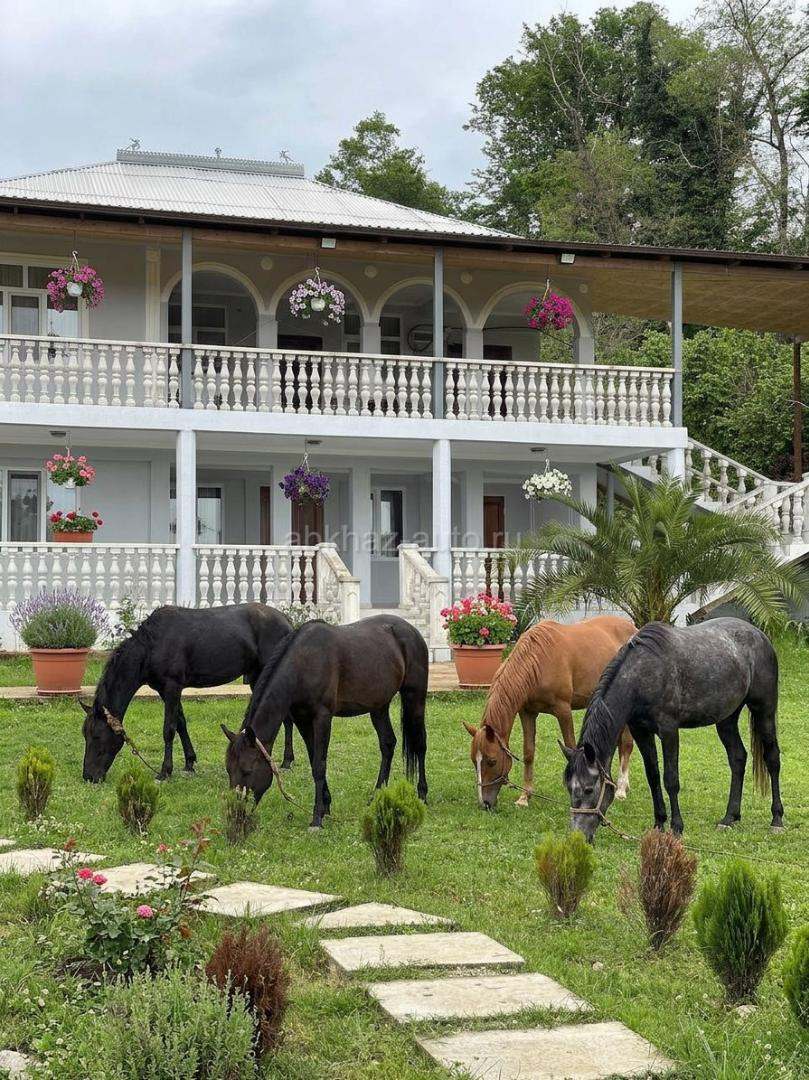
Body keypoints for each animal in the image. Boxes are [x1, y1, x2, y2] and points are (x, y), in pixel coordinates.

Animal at [81, 604, 295, 782]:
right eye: (85, 735)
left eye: (97, 736)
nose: (89, 776)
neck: (152, 646)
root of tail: (287, 621)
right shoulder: (166, 690)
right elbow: (181, 723)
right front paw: (189, 762)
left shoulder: (172, 687)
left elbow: (169, 729)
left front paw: (164, 771)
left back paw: (286, 761)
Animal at [221, 615, 429, 829]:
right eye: (229, 770)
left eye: (247, 770)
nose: (235, 813)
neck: (304, 663)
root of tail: (411, 630)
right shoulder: (302, 721)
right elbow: (314, 759)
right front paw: (326, 806)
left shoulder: (322, 718)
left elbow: (319, 765)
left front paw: (316, 818)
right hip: (379, 706)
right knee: (387, 744)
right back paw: (376, 795)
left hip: (415, 697)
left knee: (420, 744)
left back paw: (422, 794)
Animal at [463, 615, 637, 810]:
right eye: (474, 760)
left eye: (492, 761)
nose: (484, 803)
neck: (538, 662)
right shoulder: (527, 713)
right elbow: (528, 753)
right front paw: (525, 797)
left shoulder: (563, 711)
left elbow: (571, 747)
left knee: (627, 744)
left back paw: (621, 789)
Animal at [561, 617, 782, 843]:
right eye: (569, 788)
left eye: (589, 790)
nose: (577, 837)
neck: (643, 674)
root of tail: (759, 634)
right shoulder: (641, 732)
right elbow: (653, 777)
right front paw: (659, 823)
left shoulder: (669, 731)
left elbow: (671, 780)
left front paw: (676, 828)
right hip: (726, 720)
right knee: (738, 758)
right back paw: (729, 818)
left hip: (764, 711)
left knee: (772, 759)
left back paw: (776, 820)